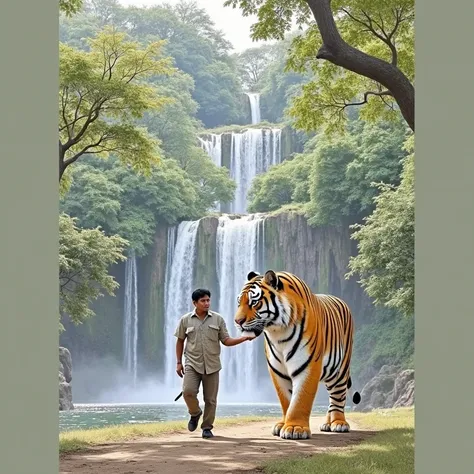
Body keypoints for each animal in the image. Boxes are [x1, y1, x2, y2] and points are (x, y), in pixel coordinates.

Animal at [235, 270, 362, 440]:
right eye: (239, 302)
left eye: (254, 302)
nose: (237, 321)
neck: (277, 333)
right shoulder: (277, 371)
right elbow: (286, 400)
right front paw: (283, 424)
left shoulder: (308, 366)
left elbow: (300, 399)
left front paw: (295, 428)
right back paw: (327, 424)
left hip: (341, 369)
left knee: (337, 396)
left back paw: (338, 423)